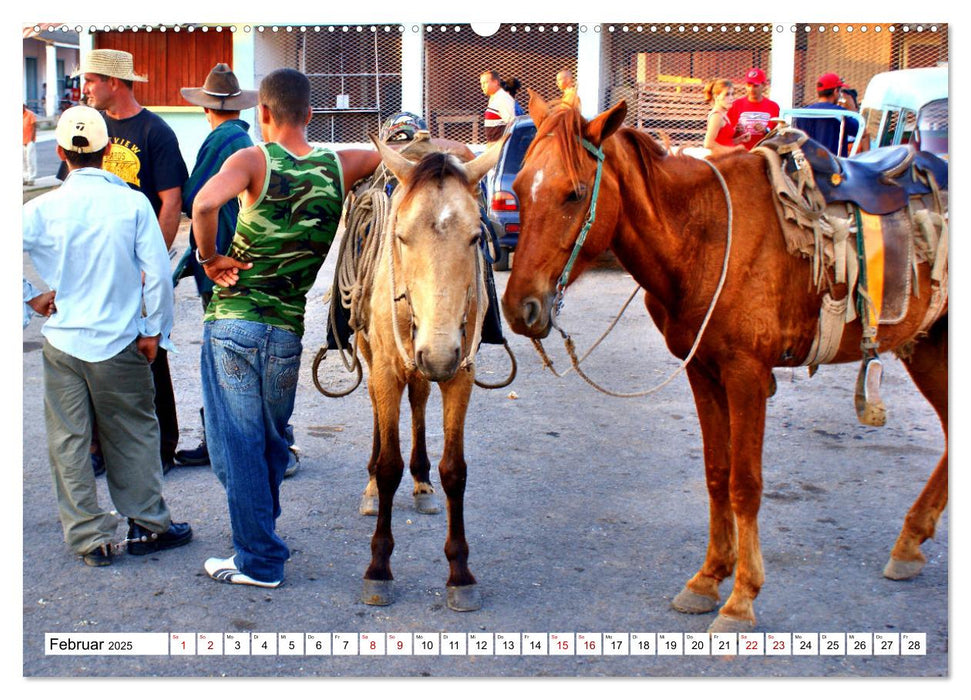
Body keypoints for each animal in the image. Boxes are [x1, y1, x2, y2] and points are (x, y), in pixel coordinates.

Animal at [354, 138, 502, 612]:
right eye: (401, 236)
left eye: (476, 236)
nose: (436, 353)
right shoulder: (387, 369)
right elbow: (388, 466)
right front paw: (378, 567)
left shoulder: (460, 373)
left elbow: (455, 469)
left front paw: (460, 573)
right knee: (378, 409)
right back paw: (370, 489)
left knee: (419, 399)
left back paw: (421, 483)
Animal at [502, 94, 948, 636]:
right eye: (518, 190)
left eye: (575, 193)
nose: (520, 309)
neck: (704, 238)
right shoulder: (702, 371)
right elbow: (716, 473)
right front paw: (709, 578)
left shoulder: (746, 374)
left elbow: (744, 484)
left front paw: (741, 599)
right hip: (928, 346)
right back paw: (909, 544)